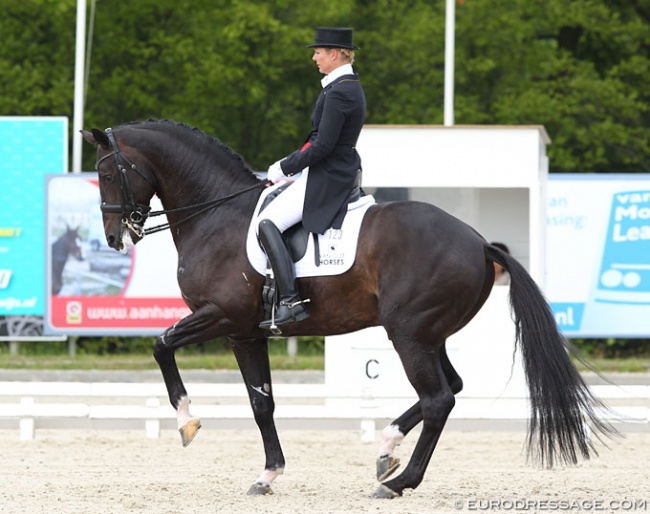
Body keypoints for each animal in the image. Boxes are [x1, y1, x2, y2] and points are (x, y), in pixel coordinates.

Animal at [81, 119, 612, 496]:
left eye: (106, 174)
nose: (114, 238)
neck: (216, 214)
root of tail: (479, 242)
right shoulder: (246, 332)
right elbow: (261, 403)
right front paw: (269, 475)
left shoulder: (221, 316)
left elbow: (161, 345)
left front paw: (186, 422)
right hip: (429, 333)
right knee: (451, 388)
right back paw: (387, 448)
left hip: (408, 333)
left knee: (439, 398)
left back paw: (398, 482)